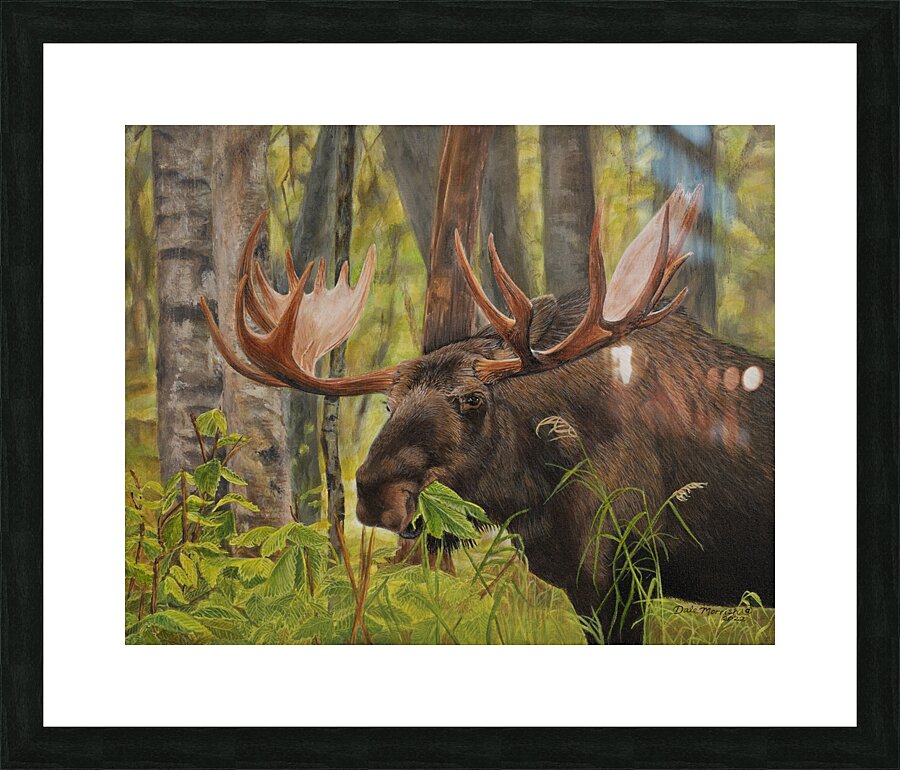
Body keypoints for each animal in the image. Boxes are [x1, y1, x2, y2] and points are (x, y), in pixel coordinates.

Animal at [200, 184, 775, 644]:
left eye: (473, 398)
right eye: (389, 403)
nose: (376, 492)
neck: (540, 490)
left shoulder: (621, 575)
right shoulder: (586, 588)